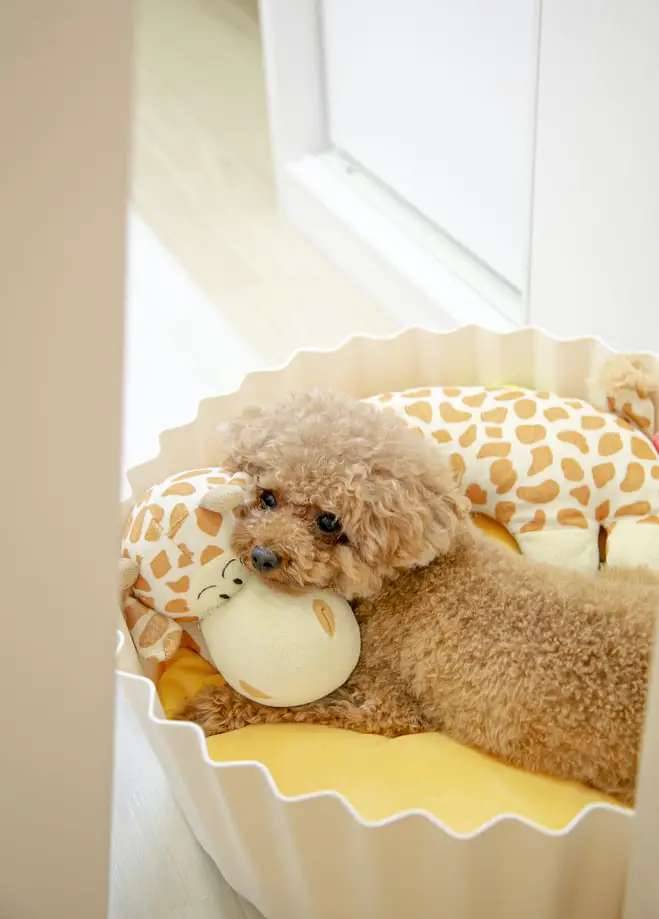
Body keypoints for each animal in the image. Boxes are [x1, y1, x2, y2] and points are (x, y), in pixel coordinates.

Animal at [182, 390, 659, 804]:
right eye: (266, 497)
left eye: (329, 521)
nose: (262, 556)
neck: (411, 580)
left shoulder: (383, 706)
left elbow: (302, 706)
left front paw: (209, 708)